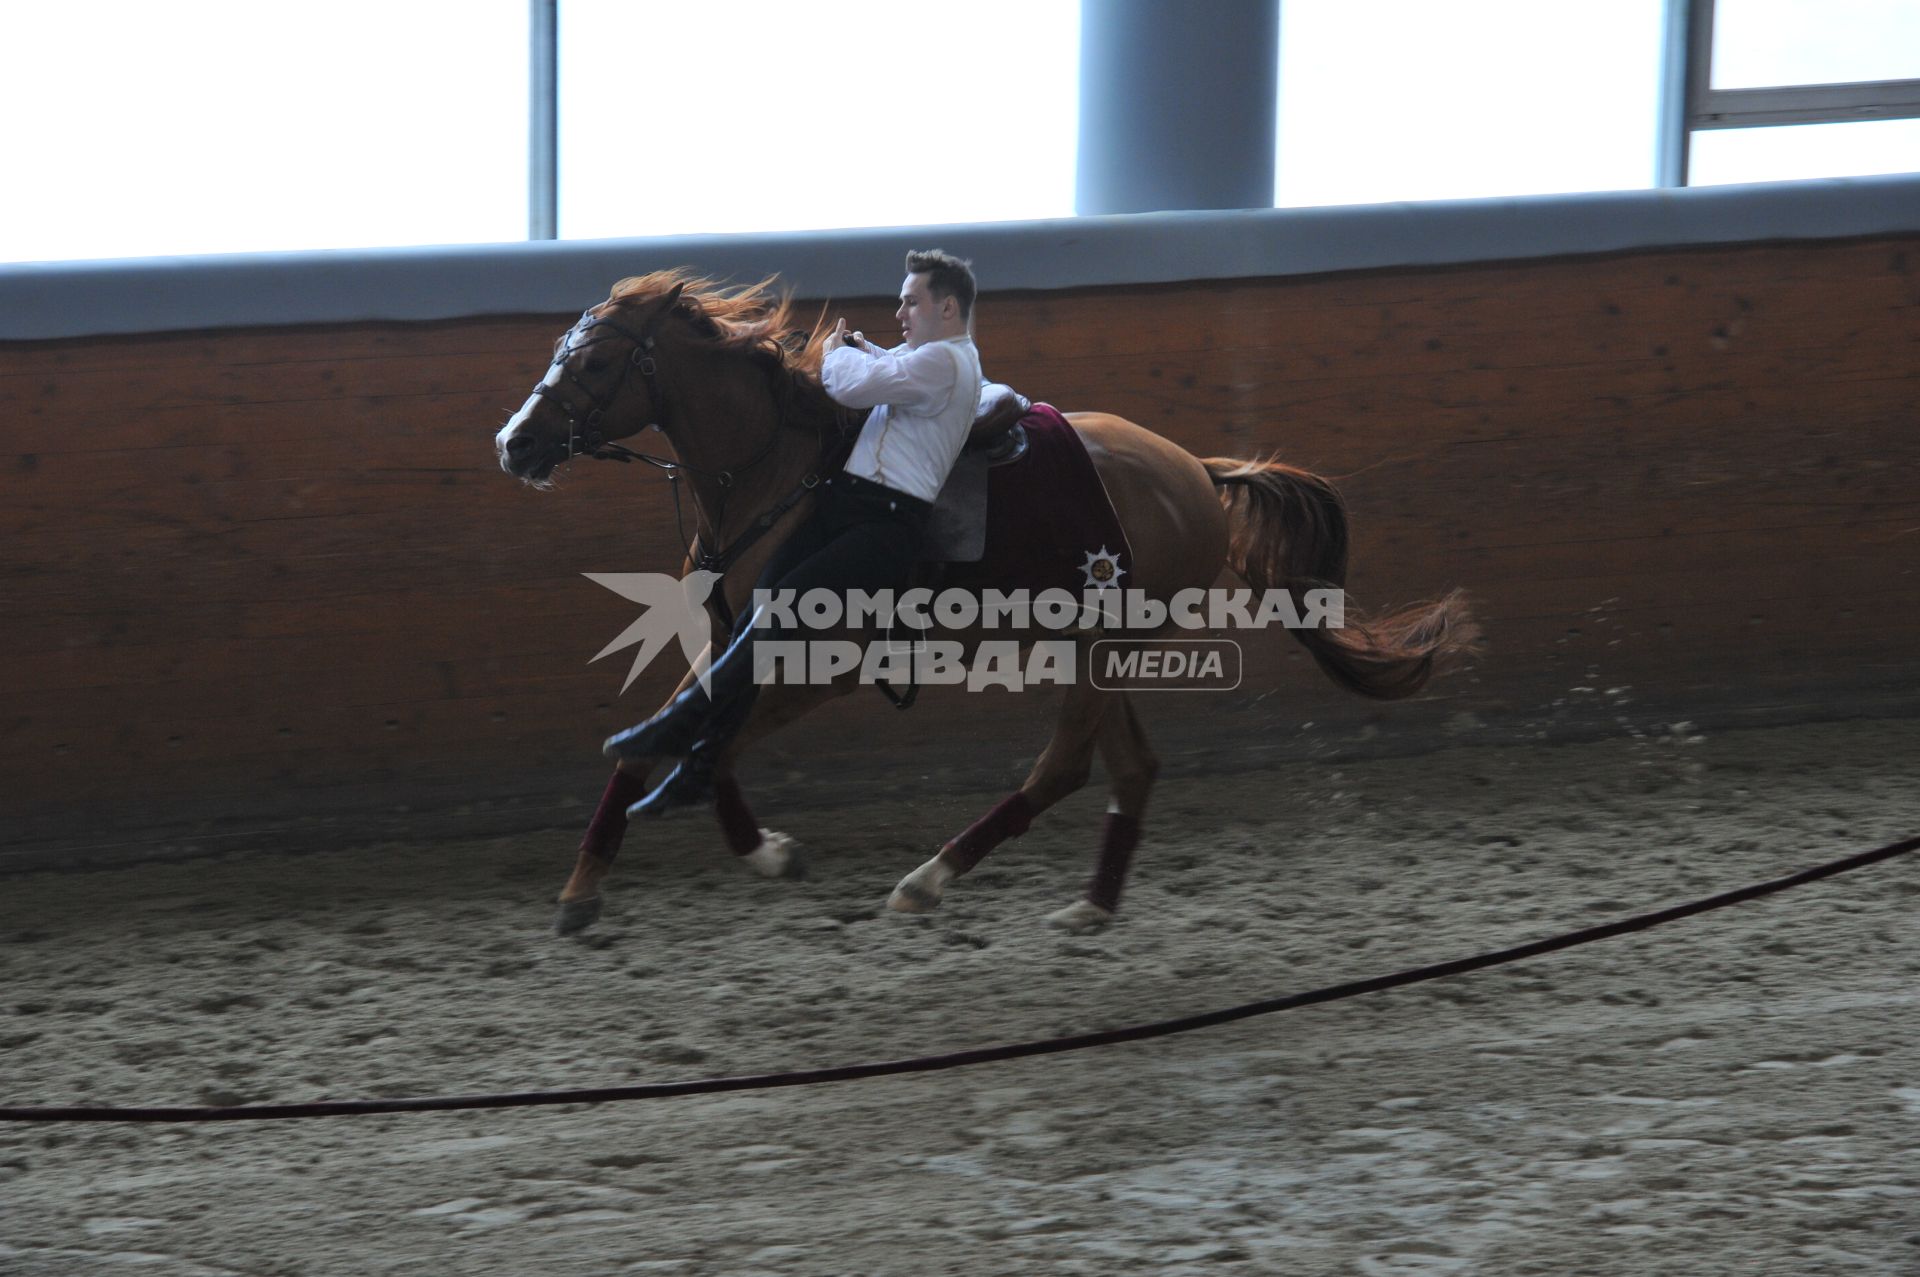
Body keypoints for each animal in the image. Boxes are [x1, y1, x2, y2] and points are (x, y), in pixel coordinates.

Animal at [491, 268, 1466, 933]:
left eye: (595, 359)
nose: (516, 443)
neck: (788, 479)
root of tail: (1198, 470)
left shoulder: (821, 662)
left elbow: (712, 739)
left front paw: (748, 840)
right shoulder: (732, 643)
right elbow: (678, 730)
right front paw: (588, 885)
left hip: (1103, 650)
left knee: (1067, 764)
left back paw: (933, 875)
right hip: (1094, 645)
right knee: (1131, 765)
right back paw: (1091, 905)